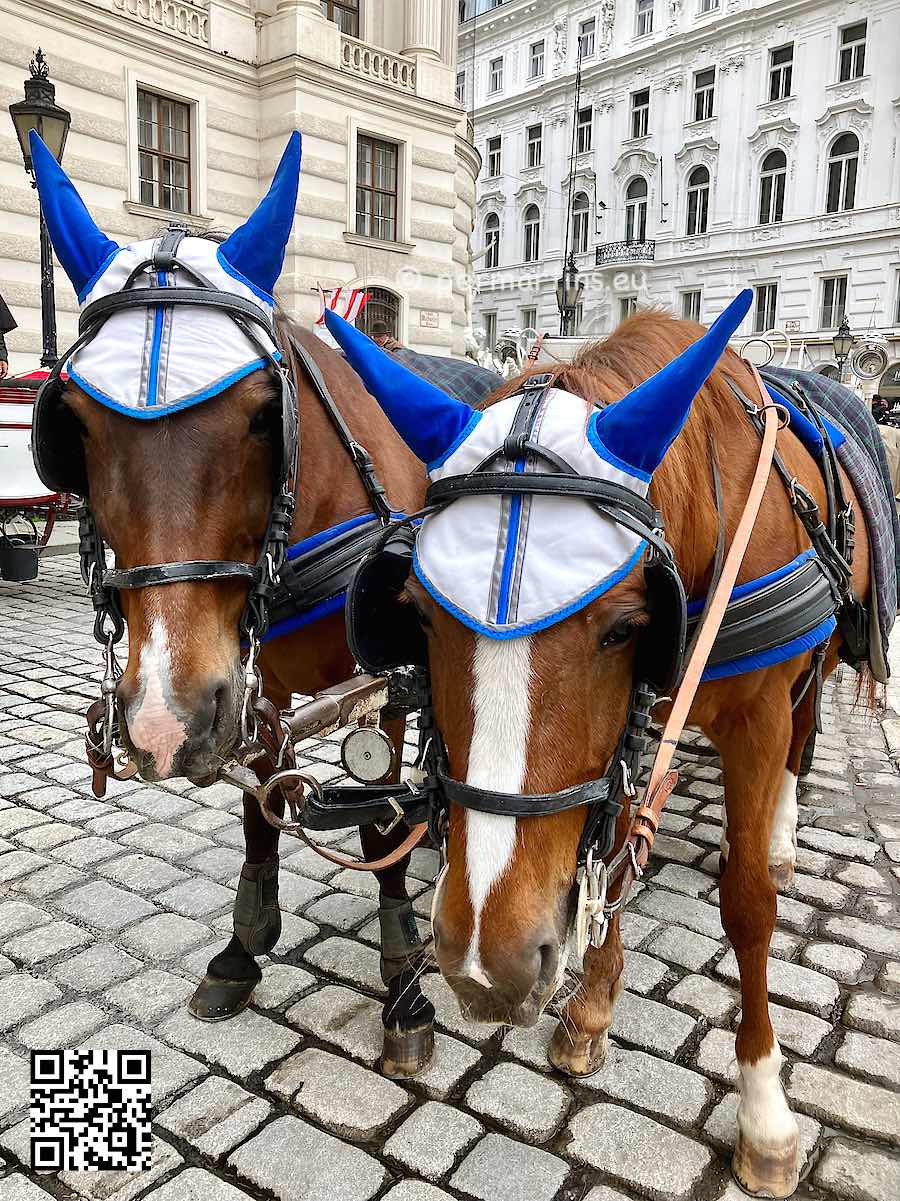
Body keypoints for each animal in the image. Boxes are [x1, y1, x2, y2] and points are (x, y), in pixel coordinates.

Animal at [28, 131, 437, 1074]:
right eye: (72, 423)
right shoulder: (251, 683)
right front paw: (244, 946)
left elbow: (380, 822)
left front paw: (404, 986)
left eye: (260, 414)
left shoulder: (387, 686)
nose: (160, 722)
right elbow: (258, 801)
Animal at [322, 293, 873, 1198]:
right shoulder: (631, 729)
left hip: (817, 659)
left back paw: (785, 834)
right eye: (423, 616)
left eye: (623, 626)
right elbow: (606, 853)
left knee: (806, 729)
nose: (490, 963)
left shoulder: (755, 712)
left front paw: (764, 1107)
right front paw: (590, 1008)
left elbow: (748, 904)